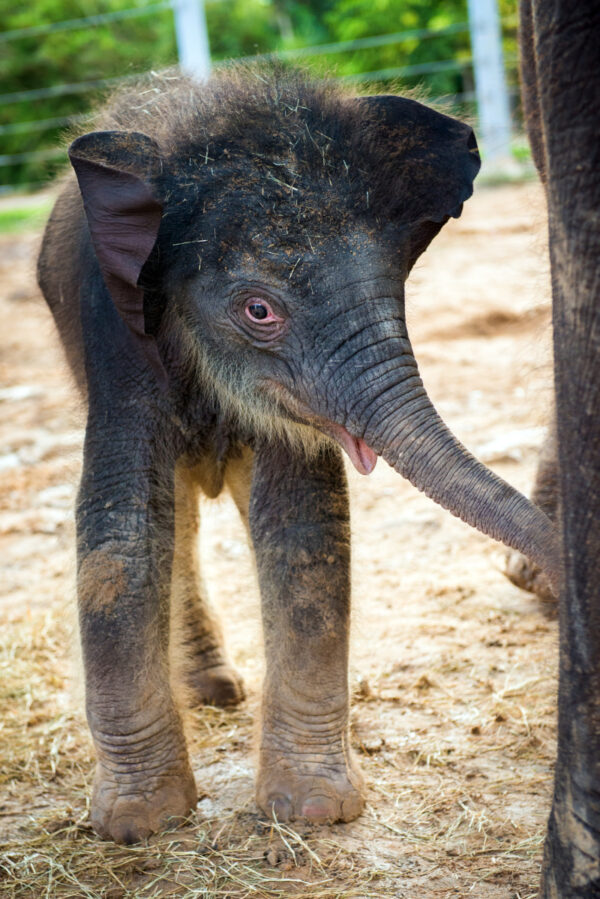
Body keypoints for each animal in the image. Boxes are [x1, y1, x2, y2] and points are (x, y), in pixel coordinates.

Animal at [38, 65, 556, 844]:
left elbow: (302, 521)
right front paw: (139, 825)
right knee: (175, 512)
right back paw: (213, 692)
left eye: (395, 291)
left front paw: (310, 811)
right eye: (259, 310)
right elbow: (120, 525)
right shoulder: (113, 332)